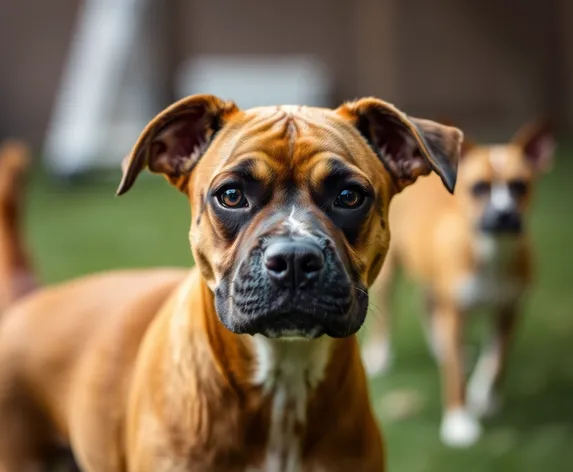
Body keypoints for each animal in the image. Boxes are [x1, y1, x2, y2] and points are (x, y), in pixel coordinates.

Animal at [362, 120, 556, 448]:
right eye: (479, 188)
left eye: (520, 185)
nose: (503, 215)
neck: (492, 253)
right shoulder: (456, 311)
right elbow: (454, 376)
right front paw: (459, 422)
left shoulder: (511, 308)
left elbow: (498, 359)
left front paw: (485, 397)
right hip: (389, 273)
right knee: (387, 317)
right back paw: (381, 356)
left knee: (427, 305)